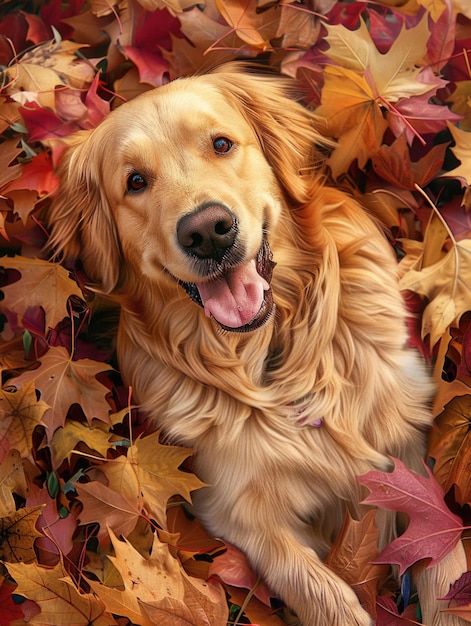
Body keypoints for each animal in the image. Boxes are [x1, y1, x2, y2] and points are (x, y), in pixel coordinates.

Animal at [48, 66, 468, 620]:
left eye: (222, 144)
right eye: (134, 182)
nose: (208, 232)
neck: (268, 354)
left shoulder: (407, 453)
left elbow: (445, 557)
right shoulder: (238, 512)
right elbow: (319, 590)